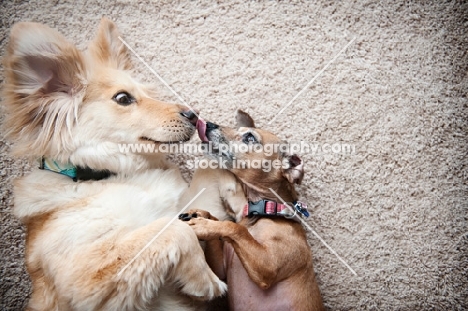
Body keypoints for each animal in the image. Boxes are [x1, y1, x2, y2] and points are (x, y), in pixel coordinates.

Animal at [1, 18, 225, 310]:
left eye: (148, 94)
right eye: (123, 98)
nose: (193, 114)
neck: (113, 173)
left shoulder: (188, 203)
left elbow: (205, 188)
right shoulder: (87, 280)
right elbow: (171, 229)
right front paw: (205, 280)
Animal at [181, 112, 324, 311]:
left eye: (250, 137)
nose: (207, 124)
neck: (263, 212)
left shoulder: (267, 267)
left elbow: (234, 227)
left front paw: (203, 225)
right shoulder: (221, 268)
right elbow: (221, 223)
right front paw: (203, 216)